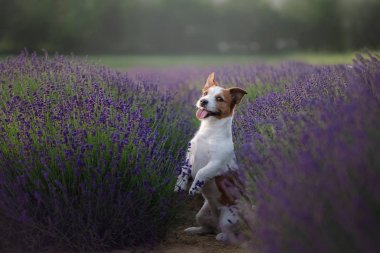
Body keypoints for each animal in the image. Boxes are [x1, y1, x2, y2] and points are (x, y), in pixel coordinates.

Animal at [174, 71, 248, 241]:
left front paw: (194, 187)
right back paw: (194, 230)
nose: (203, 101)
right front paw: (180, 185)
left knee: (230, 233)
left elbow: (202, 172)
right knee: (207, 228)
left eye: (220, 99)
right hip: (202, 214)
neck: (209, 131)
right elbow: (184, 170)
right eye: (205, 93)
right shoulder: (189, 156)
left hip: (227, 218)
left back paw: (222, 236)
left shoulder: (216, 163)